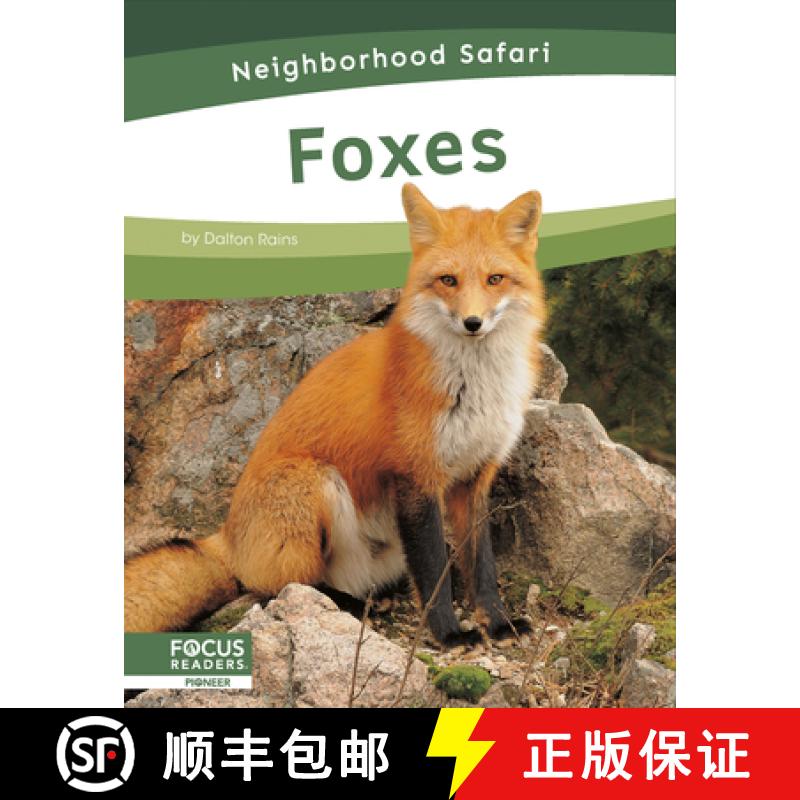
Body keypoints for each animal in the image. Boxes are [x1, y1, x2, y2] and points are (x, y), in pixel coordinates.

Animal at [125, 183, 546, 647]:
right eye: (448, 280)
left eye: (495, 279)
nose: (473, 322)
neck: (473, 387)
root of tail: (227, 535)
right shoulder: (416, 476)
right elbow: (434, 569)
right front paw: (448, 634)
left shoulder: (476, 476)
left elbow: (482, 566)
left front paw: (500, 623)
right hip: (312, 481)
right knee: (282, 586)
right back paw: (347, 604)